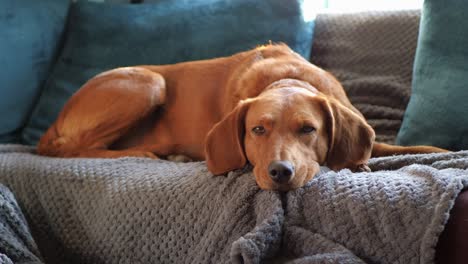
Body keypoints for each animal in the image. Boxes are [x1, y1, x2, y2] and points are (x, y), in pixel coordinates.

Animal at [36, 44, 446, 191]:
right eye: (257, 130)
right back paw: (153, 154)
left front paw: (443, 149)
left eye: (308, 129)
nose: (280, 172)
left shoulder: (370, 134)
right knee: (77, 148)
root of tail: (50, 125)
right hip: (150, 81)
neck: (287, 78)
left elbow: (404, 145)